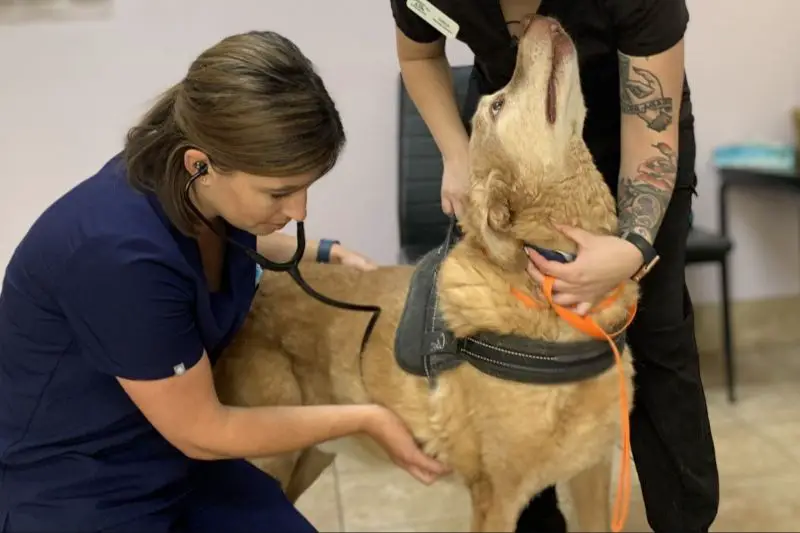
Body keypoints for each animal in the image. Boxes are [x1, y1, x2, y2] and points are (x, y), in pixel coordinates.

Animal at [211, 14, 636, 528]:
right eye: (497, 105)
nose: (541, 20)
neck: (547, 290)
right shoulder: (496, 497)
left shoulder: (591, 470)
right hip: (268, 455)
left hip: (313, 451)